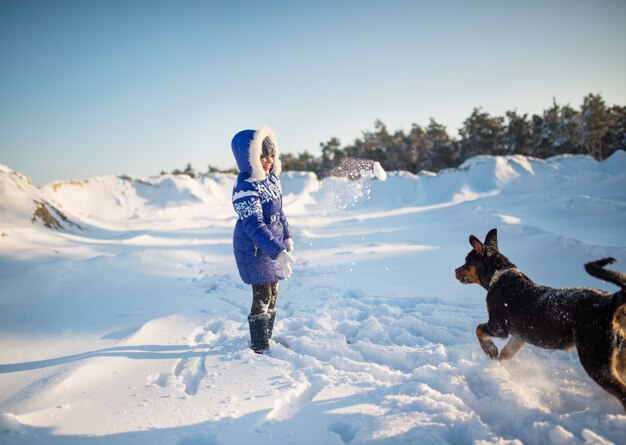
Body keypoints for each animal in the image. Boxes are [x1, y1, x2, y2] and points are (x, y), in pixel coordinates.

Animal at [454, 229, 624, 410]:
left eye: (466, 261)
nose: (455, 271)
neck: (498, 277)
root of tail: (609, 302)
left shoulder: (499, 326)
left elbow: (479, 329)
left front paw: (490, 350)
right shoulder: (519, 336)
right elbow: (506, 353)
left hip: (595, 359)